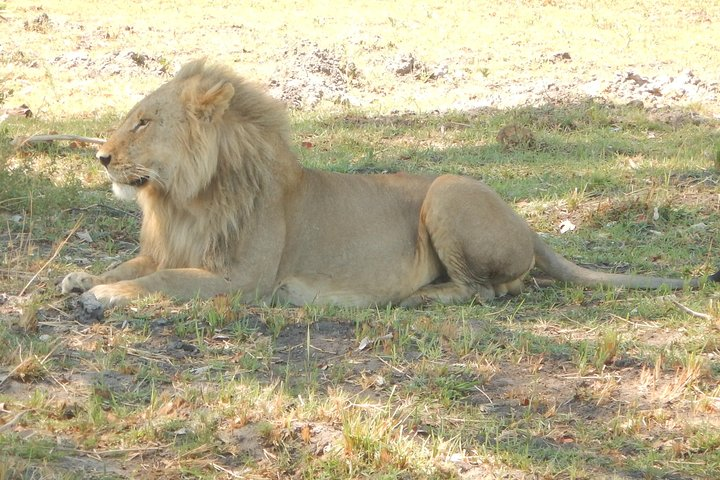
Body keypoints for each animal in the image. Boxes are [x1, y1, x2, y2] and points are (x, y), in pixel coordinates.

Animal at [60, 59, 720, 308]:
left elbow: (164, 280)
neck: (182, 198)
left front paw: (104, 295)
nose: (101, 156)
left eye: (144, 121)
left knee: (490, 290)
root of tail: (529, 225)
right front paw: (82, 277)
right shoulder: (168, 246)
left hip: (448, 189)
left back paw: (417, 297)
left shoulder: (244, 281)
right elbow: (134, 264)